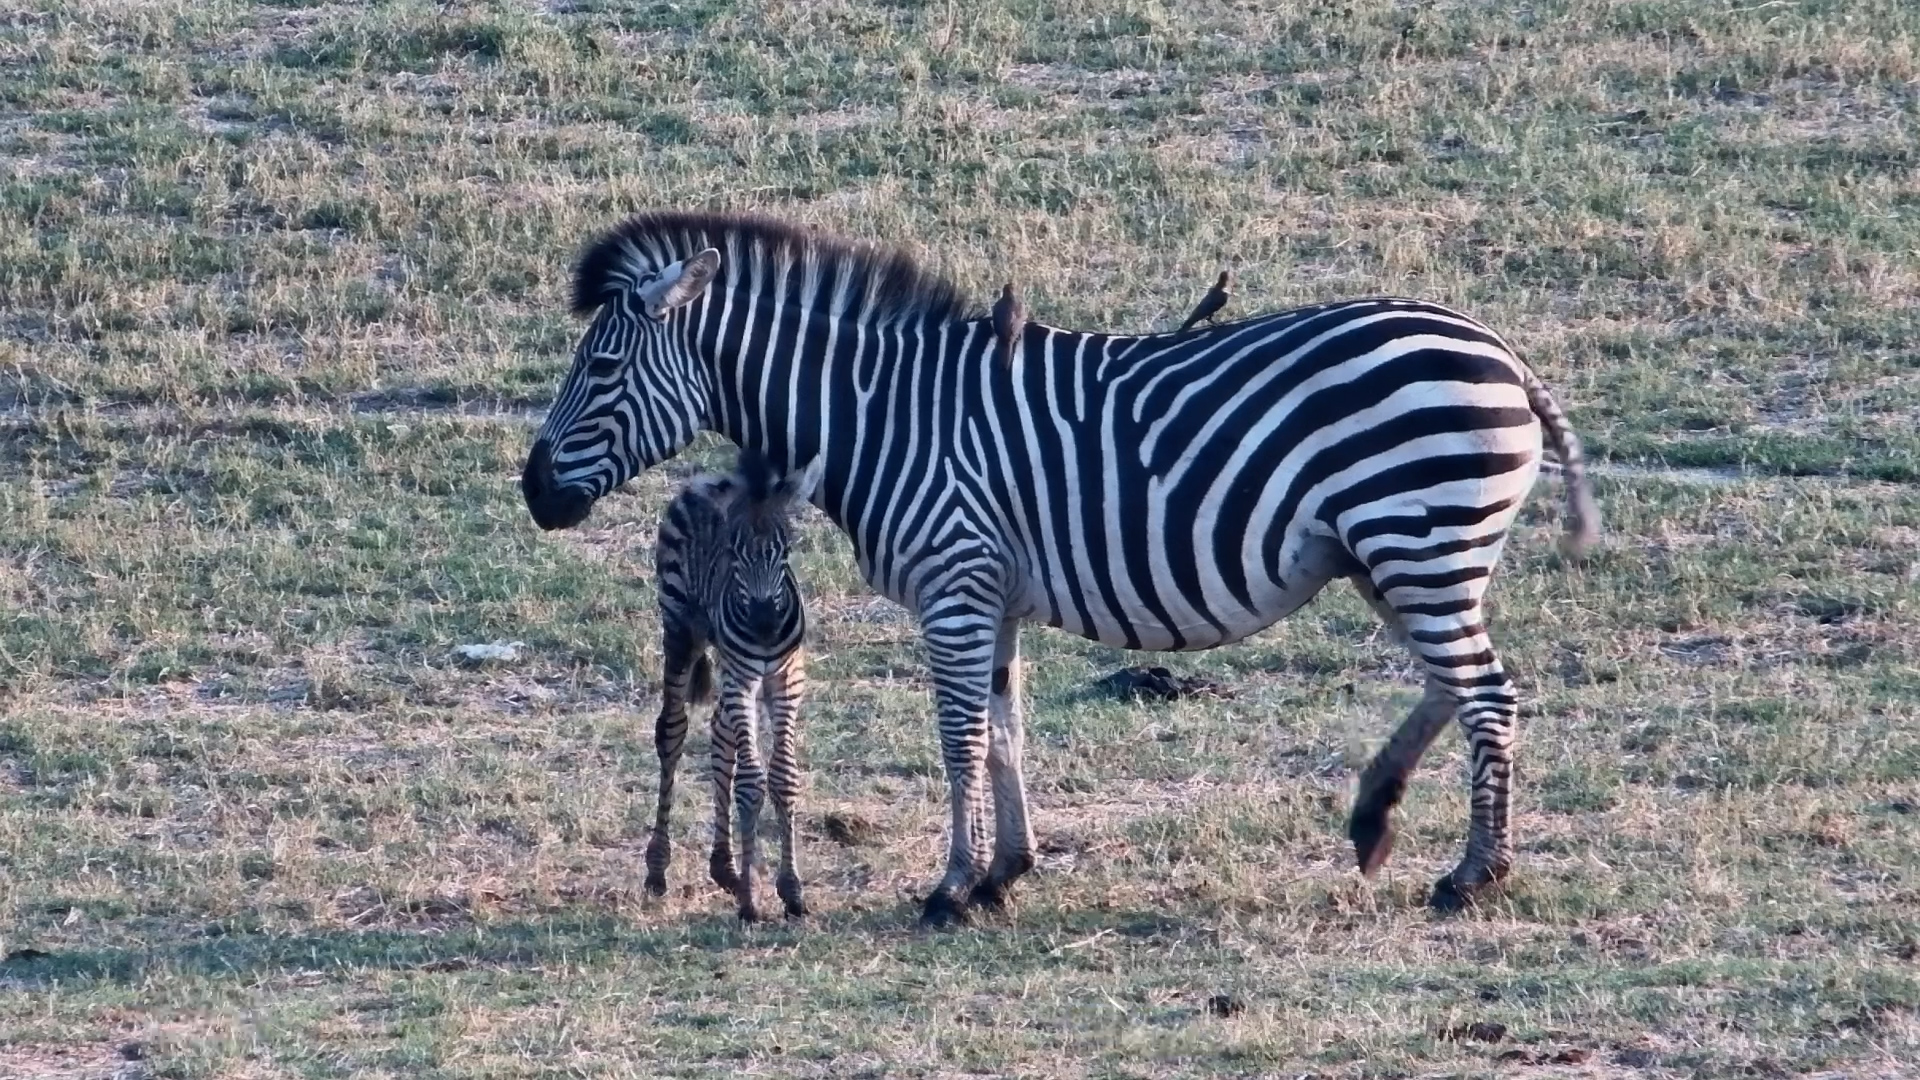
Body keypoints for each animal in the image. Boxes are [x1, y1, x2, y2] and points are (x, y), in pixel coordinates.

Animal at [644, 450, 824, 922]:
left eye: (786, 550)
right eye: (733, 552)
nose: (763, 624)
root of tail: (704, 481)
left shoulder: (787, 677)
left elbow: (783, 776)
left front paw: (790, 890)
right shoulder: (744, 675)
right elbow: (751, 782)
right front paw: (750, 900)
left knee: (721, 735)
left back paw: (724, 866)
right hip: (680, 629)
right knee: (672, 733)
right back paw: (658, 869)